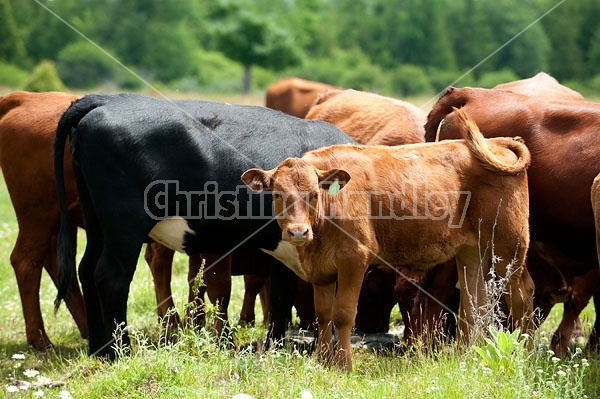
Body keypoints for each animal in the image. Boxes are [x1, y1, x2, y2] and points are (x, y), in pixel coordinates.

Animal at [54, 94, 356, 360]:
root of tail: (107, 99)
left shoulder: (287, 248)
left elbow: (282, 296)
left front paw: (276, 347)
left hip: (96, 224)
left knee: (86, 269)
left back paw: (99, 350)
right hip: (124, 228)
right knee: (111, 278)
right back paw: (121, 352)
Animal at [243, 109, 536, 372]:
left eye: (314, 194)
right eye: (277, 194)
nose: (298, 232)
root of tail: (497, 142)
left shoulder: (354, 259)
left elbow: (343, 313)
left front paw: (343, 366)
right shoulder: (321, 271)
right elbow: (323, 315)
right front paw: (322, 362)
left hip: (509, 246)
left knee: (522, 295)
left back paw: (526, 355)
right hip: (472, 251)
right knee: (474, 302)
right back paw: (467, 356)